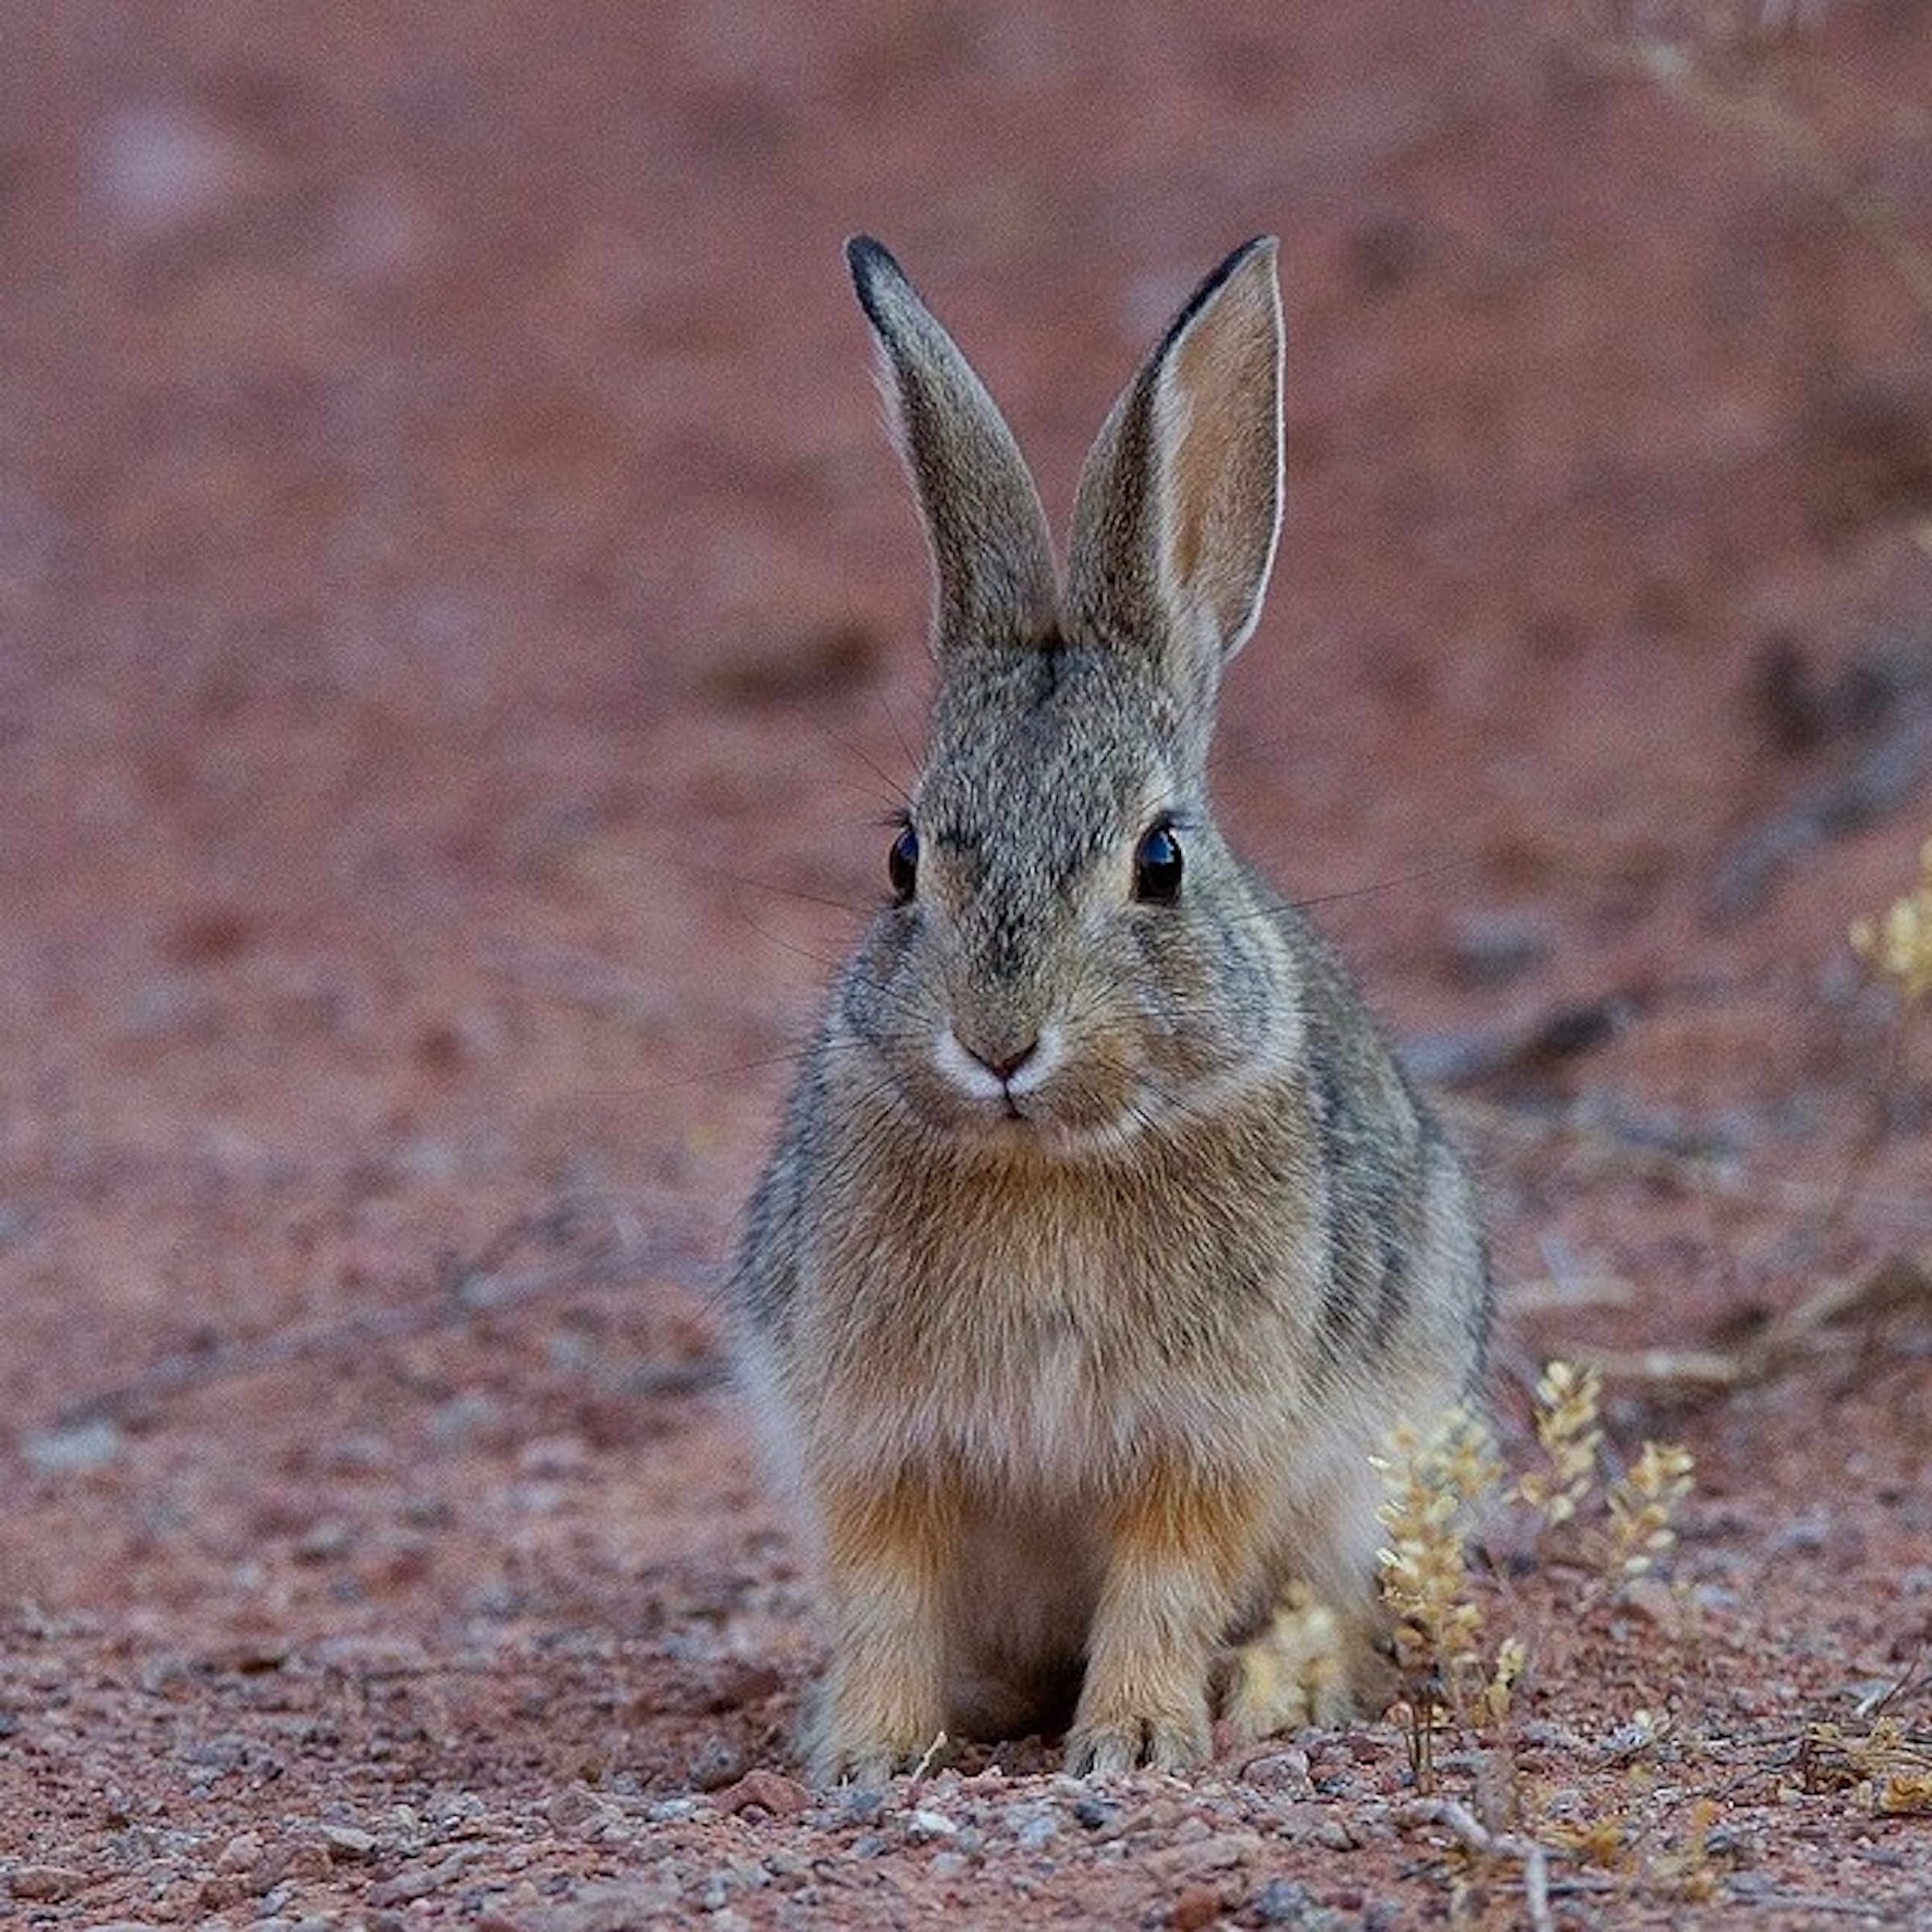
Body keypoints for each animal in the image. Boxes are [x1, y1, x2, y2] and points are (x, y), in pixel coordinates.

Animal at [730, 233, 1484, 1785]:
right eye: (904, 859)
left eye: (1162, 861)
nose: (1000, 1043)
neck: (1048, 1161)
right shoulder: (873, 1438)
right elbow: (885, 1589)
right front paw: (868, 1751)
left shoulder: (1208, 1439)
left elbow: (1166, 1580)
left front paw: (1134, 1740)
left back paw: (1280, 1696)